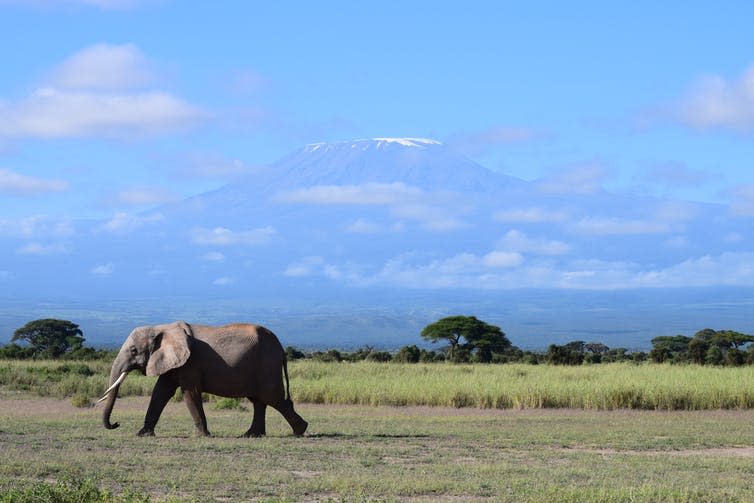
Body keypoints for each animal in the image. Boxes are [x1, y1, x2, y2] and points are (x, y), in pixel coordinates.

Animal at [98, 322, 306, 438]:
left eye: (134, 351)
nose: (116, 424)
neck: (161, 327)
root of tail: (281, 347)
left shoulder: (191, 363)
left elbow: (190, 393)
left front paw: (201, 436)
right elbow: (160, 392)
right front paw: (143, 434)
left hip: (267, 365)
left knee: (273, 398)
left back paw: (300, 431)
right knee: (259, 401)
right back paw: (251, 435)